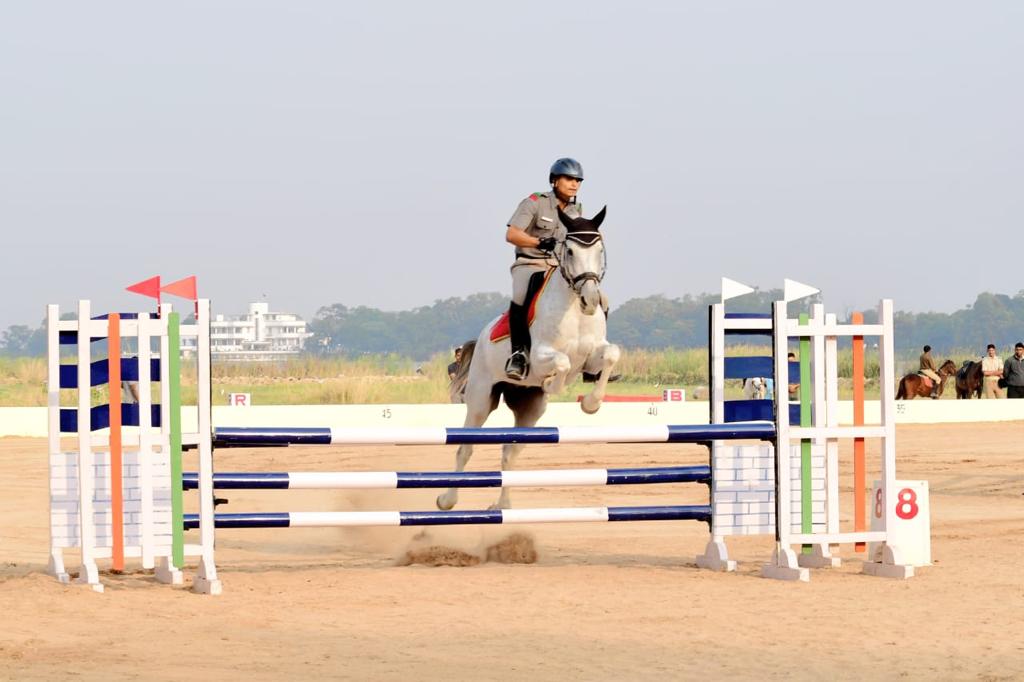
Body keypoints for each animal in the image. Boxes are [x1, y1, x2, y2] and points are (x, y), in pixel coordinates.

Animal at [440, 206, 620, 511]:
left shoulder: (593, 356)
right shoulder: (540, 356)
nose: (590, 300)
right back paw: (446, 499)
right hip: (480, 399)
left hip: (529, 409)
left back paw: (503, 506)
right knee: (466, 447)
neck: (574, 309)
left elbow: (610, 355)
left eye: (599, 250)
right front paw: (551, 384)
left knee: (509, 453)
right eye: (569, 250)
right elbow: (562, 364)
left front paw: (591, 404)